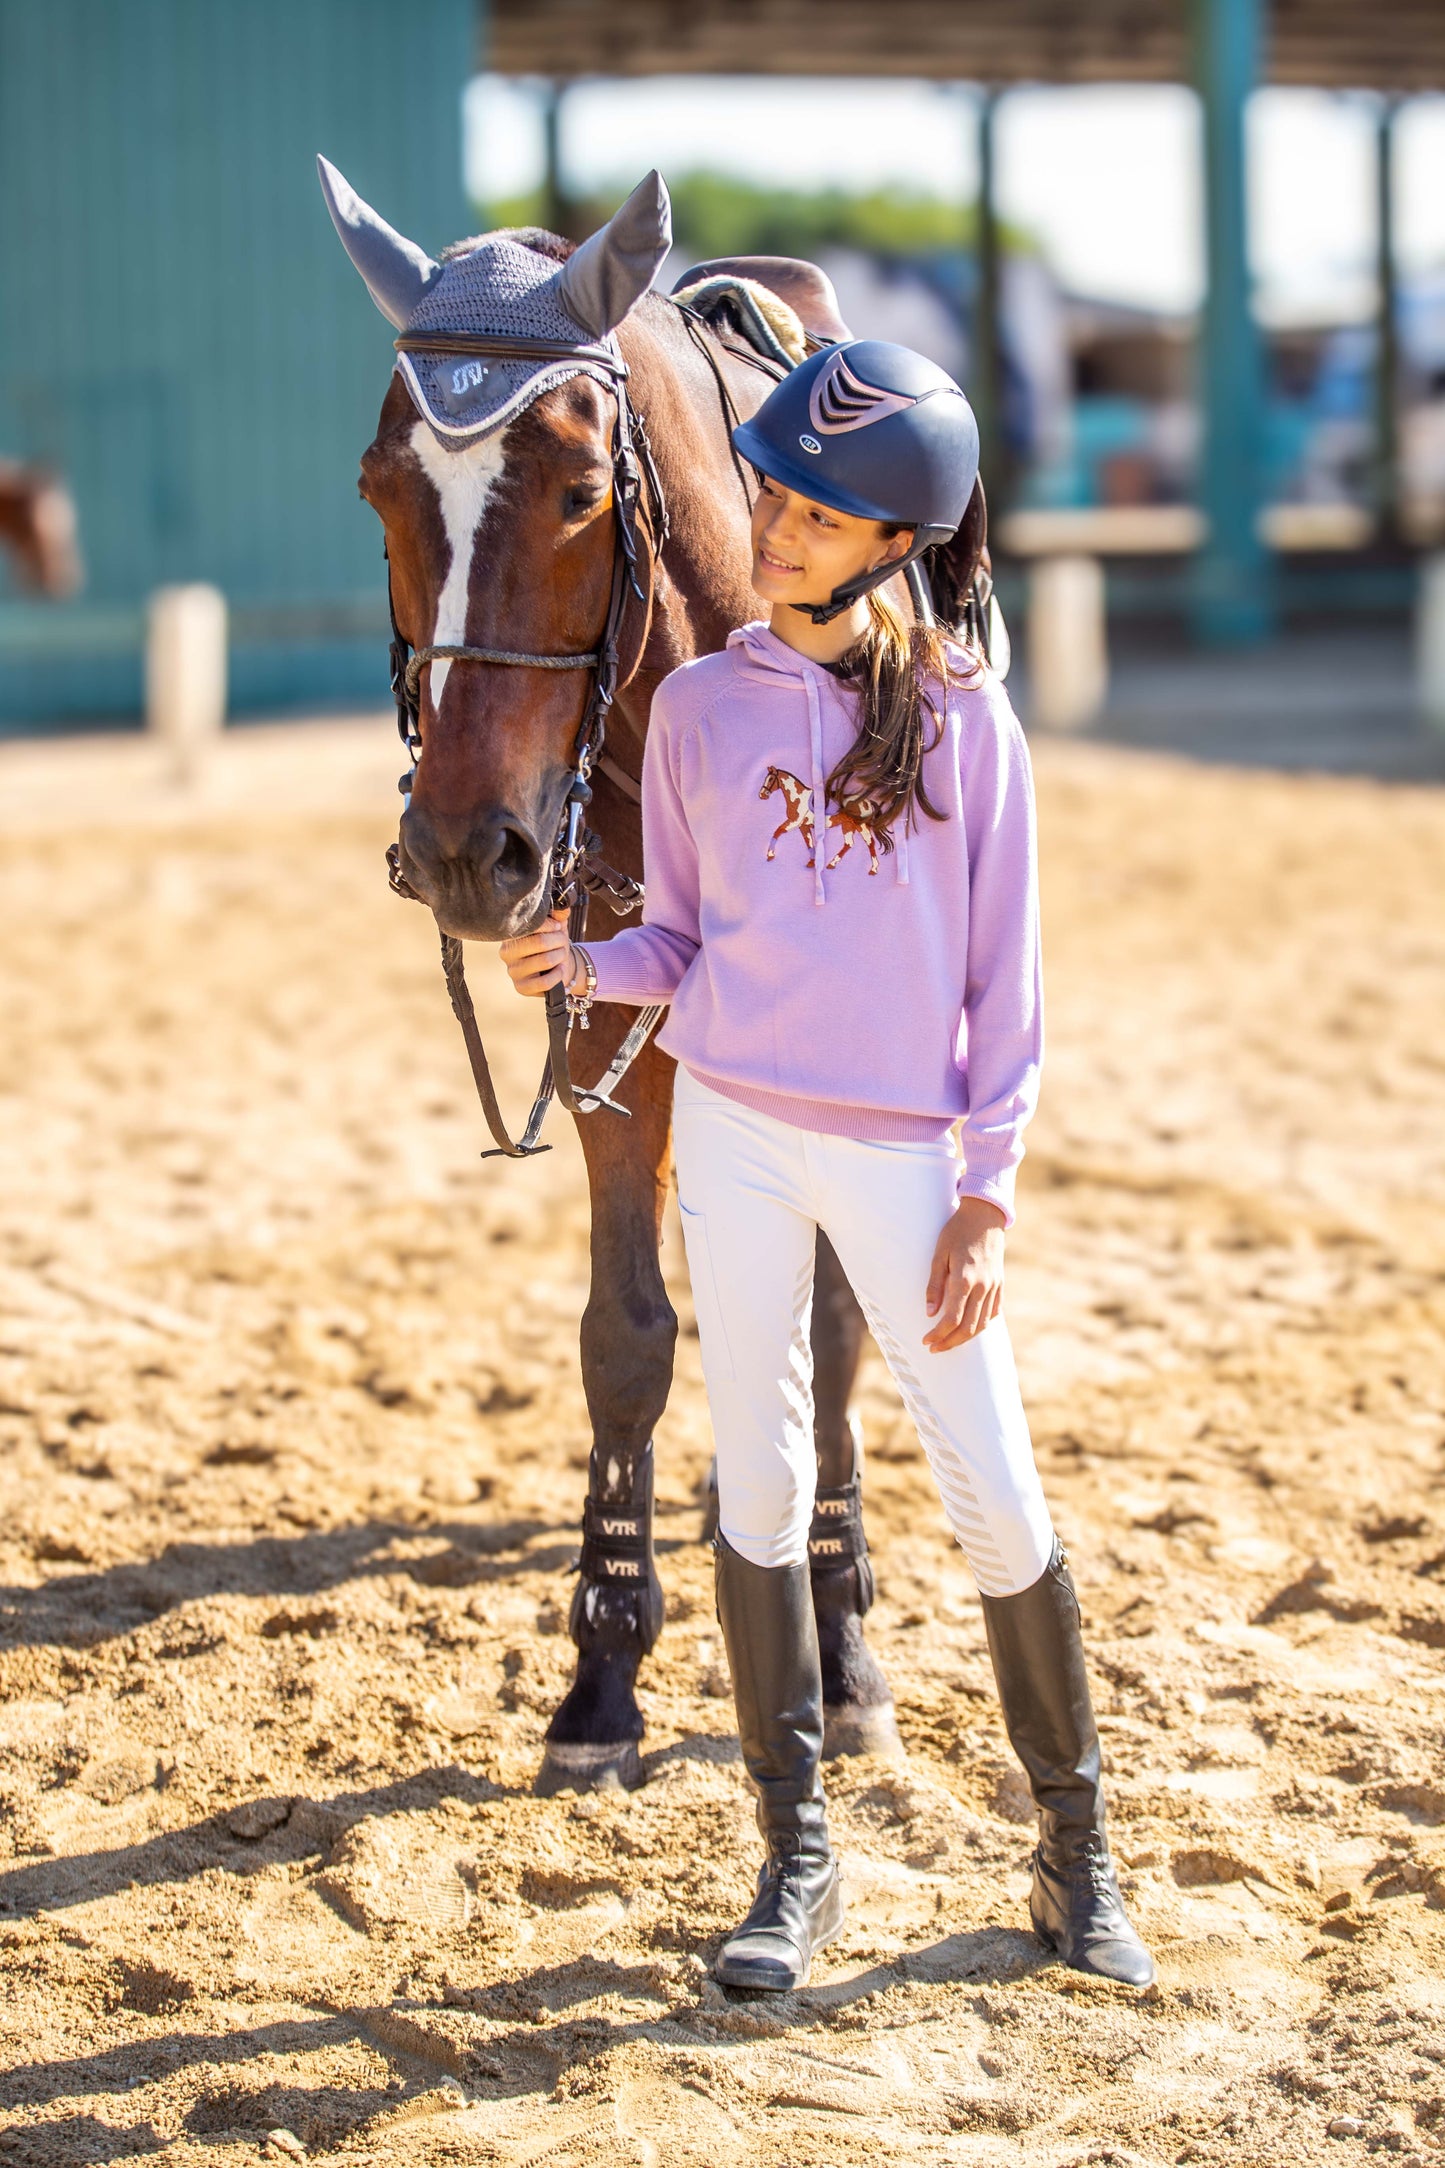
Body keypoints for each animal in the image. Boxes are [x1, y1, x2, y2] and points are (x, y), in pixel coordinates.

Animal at [323, 164, 988, 1789]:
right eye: (379, 492)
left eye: (578, 490)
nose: (463, 851)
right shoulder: (614, 1035)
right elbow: (625, 1340)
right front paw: (603, 1671)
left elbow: (831, 1325)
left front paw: (843, 1635)